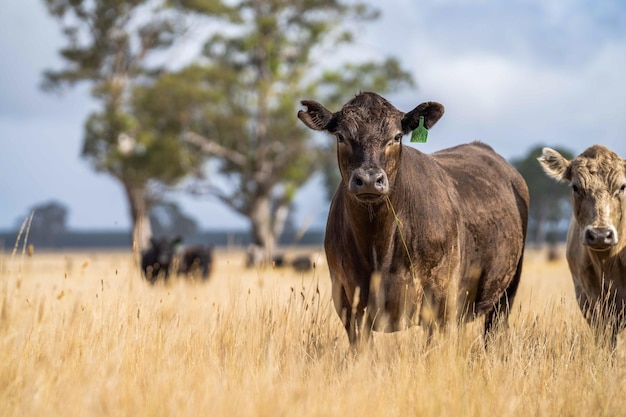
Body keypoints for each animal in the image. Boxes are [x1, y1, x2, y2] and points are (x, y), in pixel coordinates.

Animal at [298, 92, 528, 348]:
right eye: (341, 136)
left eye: (397, 136)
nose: (369, 179)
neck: (378, 248)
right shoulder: (348, 303)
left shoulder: (440, 301)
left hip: (505, 293)